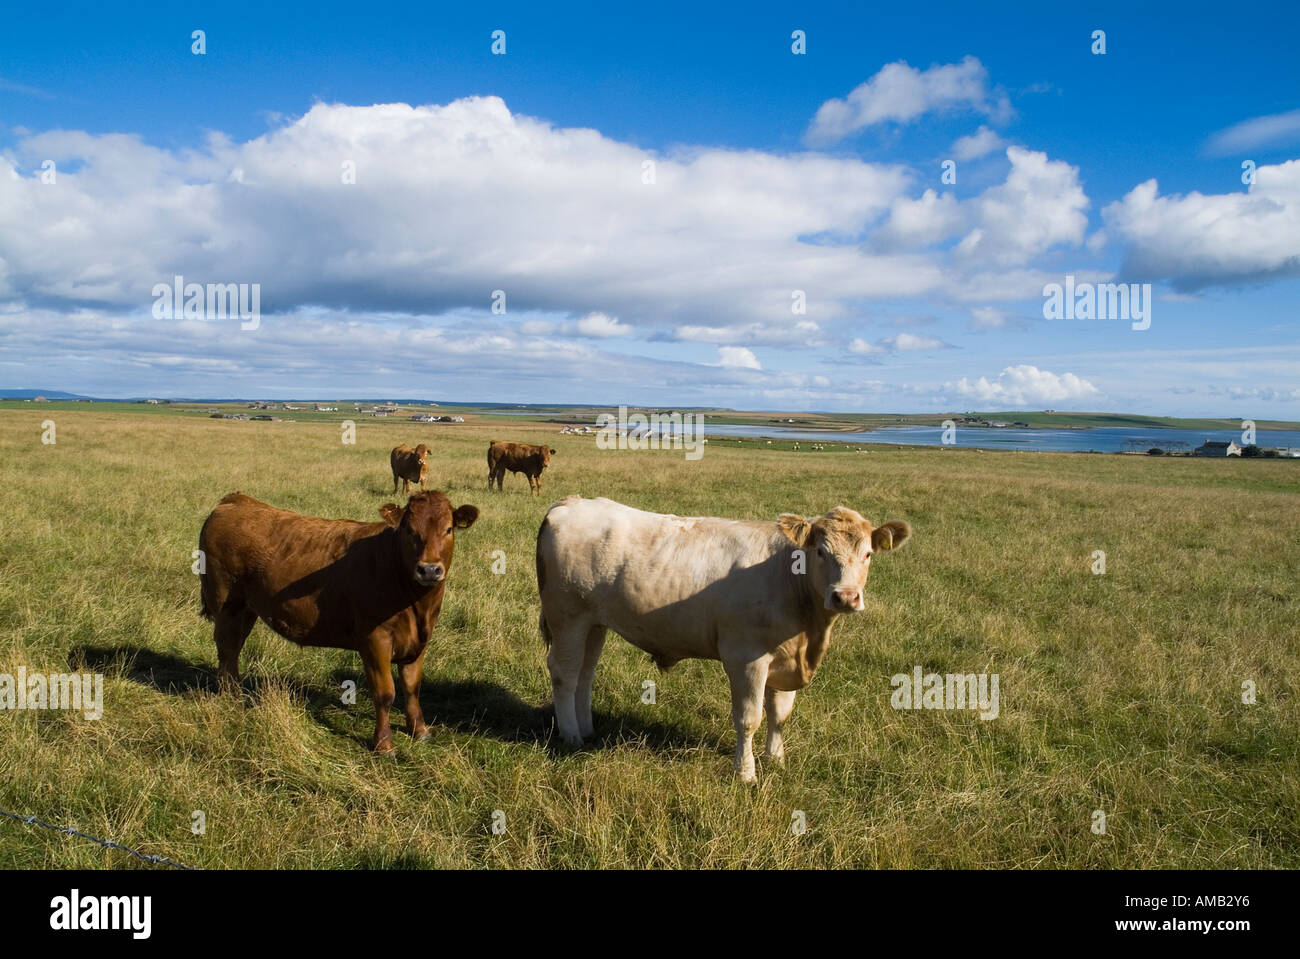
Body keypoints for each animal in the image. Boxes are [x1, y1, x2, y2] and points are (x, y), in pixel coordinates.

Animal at [198, 490, 479, 753]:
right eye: (409, 530)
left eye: (448, 529)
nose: (429, 569)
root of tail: (237, 501)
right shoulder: (375, 639)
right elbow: (385, 693)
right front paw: (383, 744)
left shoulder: (419, 640)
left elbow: (412, 687)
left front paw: (420, 731)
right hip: (226, 605)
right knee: (226, 649)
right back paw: (230, 697)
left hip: (246, 609)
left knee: (234, 649)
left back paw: (235, 692)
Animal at [535, 496, 911, 781]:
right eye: (820, 552)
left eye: (868, 554)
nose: (845, 597)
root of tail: (571, 503)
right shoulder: (746, 658)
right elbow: (749, 718)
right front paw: (745, 774)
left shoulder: (786, 659)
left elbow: (780, 715)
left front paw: (776, 760)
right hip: (567, 616)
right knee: (564, 673)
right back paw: (571, 735)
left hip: (594, 623)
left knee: (585, 674)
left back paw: (586, 730)